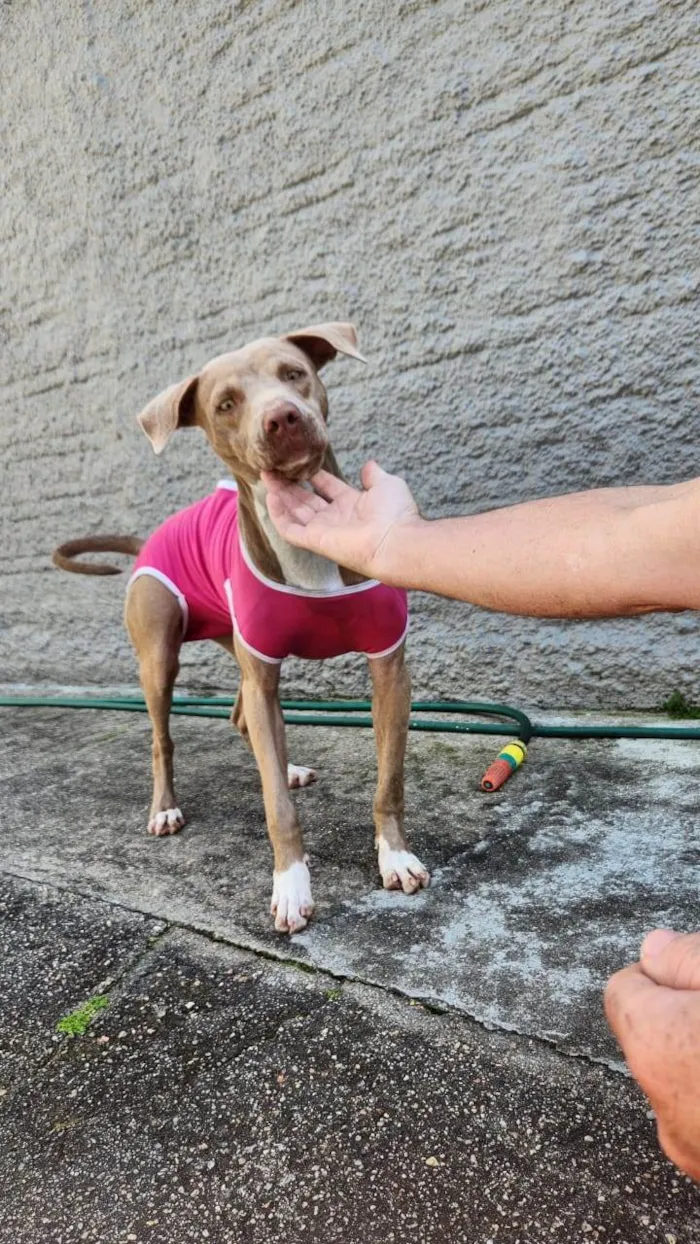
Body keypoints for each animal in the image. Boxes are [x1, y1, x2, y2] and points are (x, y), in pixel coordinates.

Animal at [51, 325, 430, 930]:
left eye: (293, 374)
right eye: (226, 404)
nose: (283, 418)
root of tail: (151, 535)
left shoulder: (388, 666)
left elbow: (388, 781)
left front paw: (394, 856)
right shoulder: (263, 674)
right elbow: (277, 805)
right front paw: (291, 885)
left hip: (240, 649)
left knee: (240, 716)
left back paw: (288, 765)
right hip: (160, 659)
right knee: (163, 737)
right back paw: (164, 808)